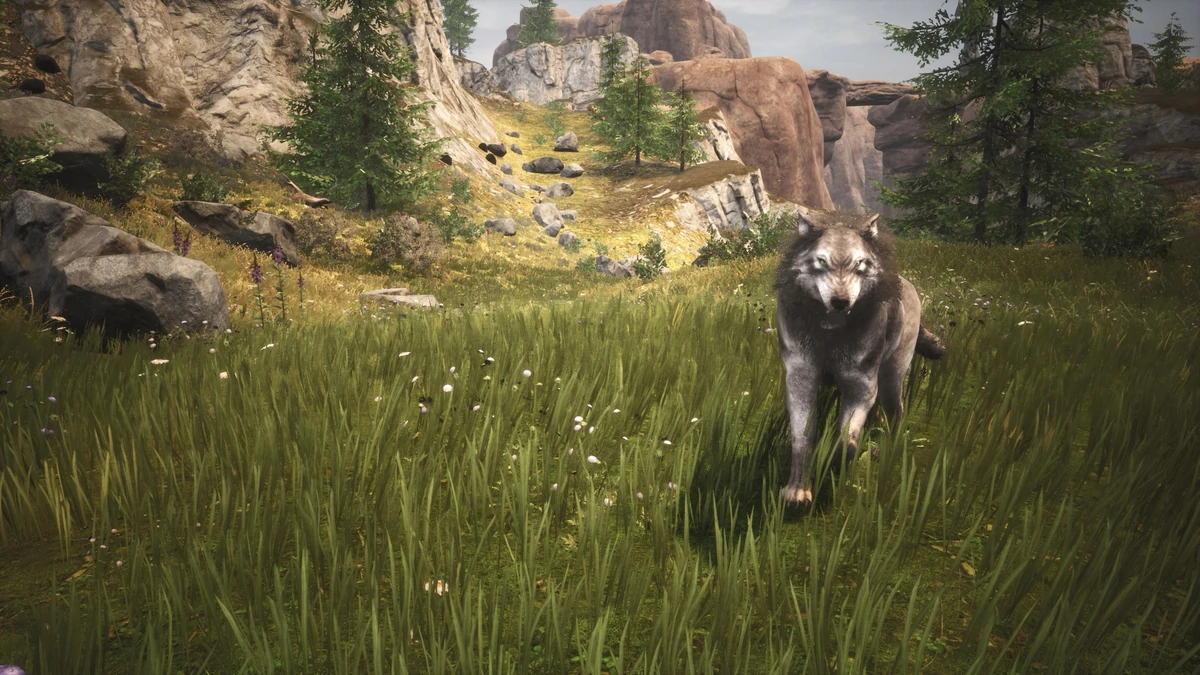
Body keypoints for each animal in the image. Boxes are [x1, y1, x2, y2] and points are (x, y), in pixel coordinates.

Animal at [774, 208, 946, 506]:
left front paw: (833, 463)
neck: (829, 333)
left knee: (897, 414)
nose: (840, 302)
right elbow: (802, 437)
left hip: (890, 380)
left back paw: (883, 451)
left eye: (859, 264)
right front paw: (797, 492)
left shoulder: (861, 385)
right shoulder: (800, 378)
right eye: (822, 261)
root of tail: (907, 283)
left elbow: (846, 440)